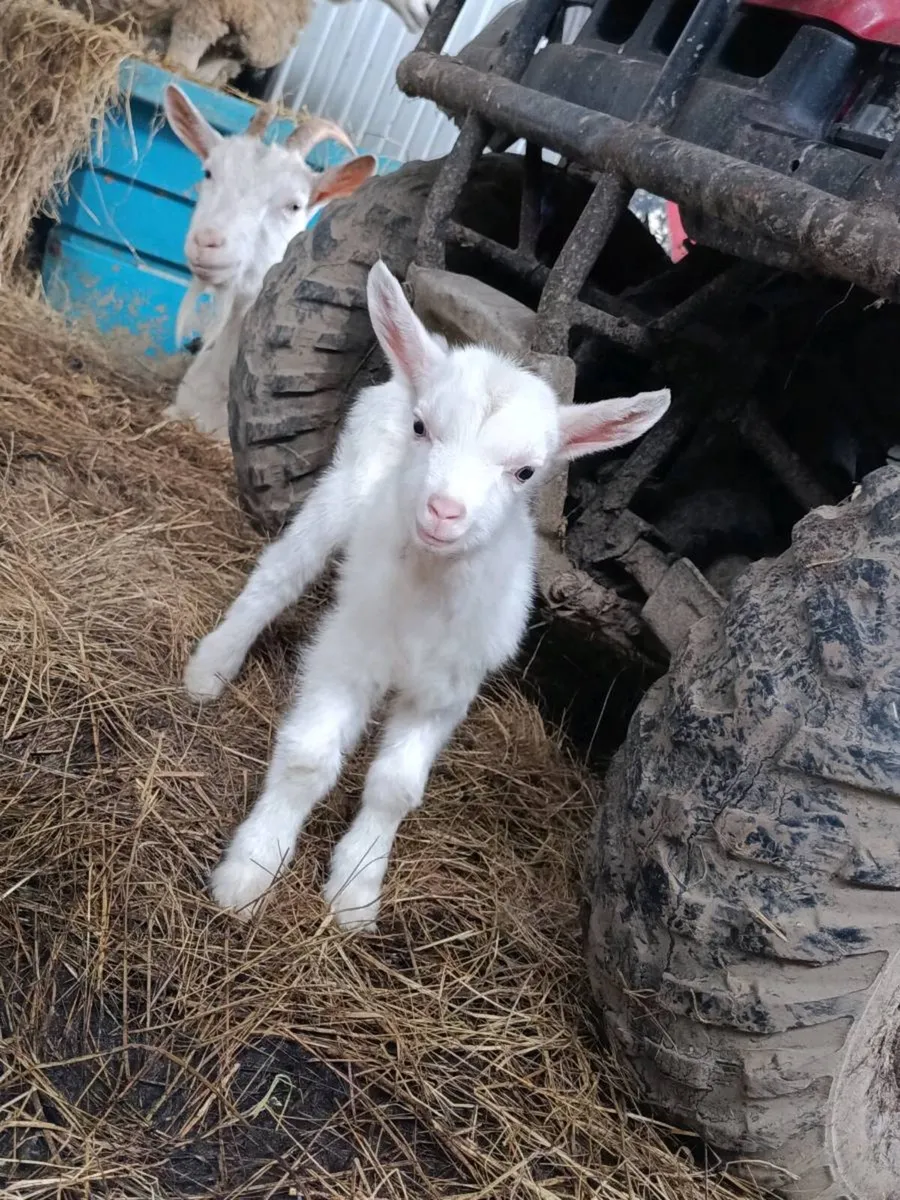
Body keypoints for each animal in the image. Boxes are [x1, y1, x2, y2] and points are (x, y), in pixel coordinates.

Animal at [184, 261, 671, 930]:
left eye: (526, 472)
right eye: (423, 428)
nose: (445, 511)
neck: (425, 601)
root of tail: (421, 357)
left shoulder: (448, 688)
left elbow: (396, 786)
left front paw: (356, 894)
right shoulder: (349, 651)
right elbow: (310, 756)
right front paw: (250, 872)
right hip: (343, 487)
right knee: (280, 573)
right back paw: (211, 667)